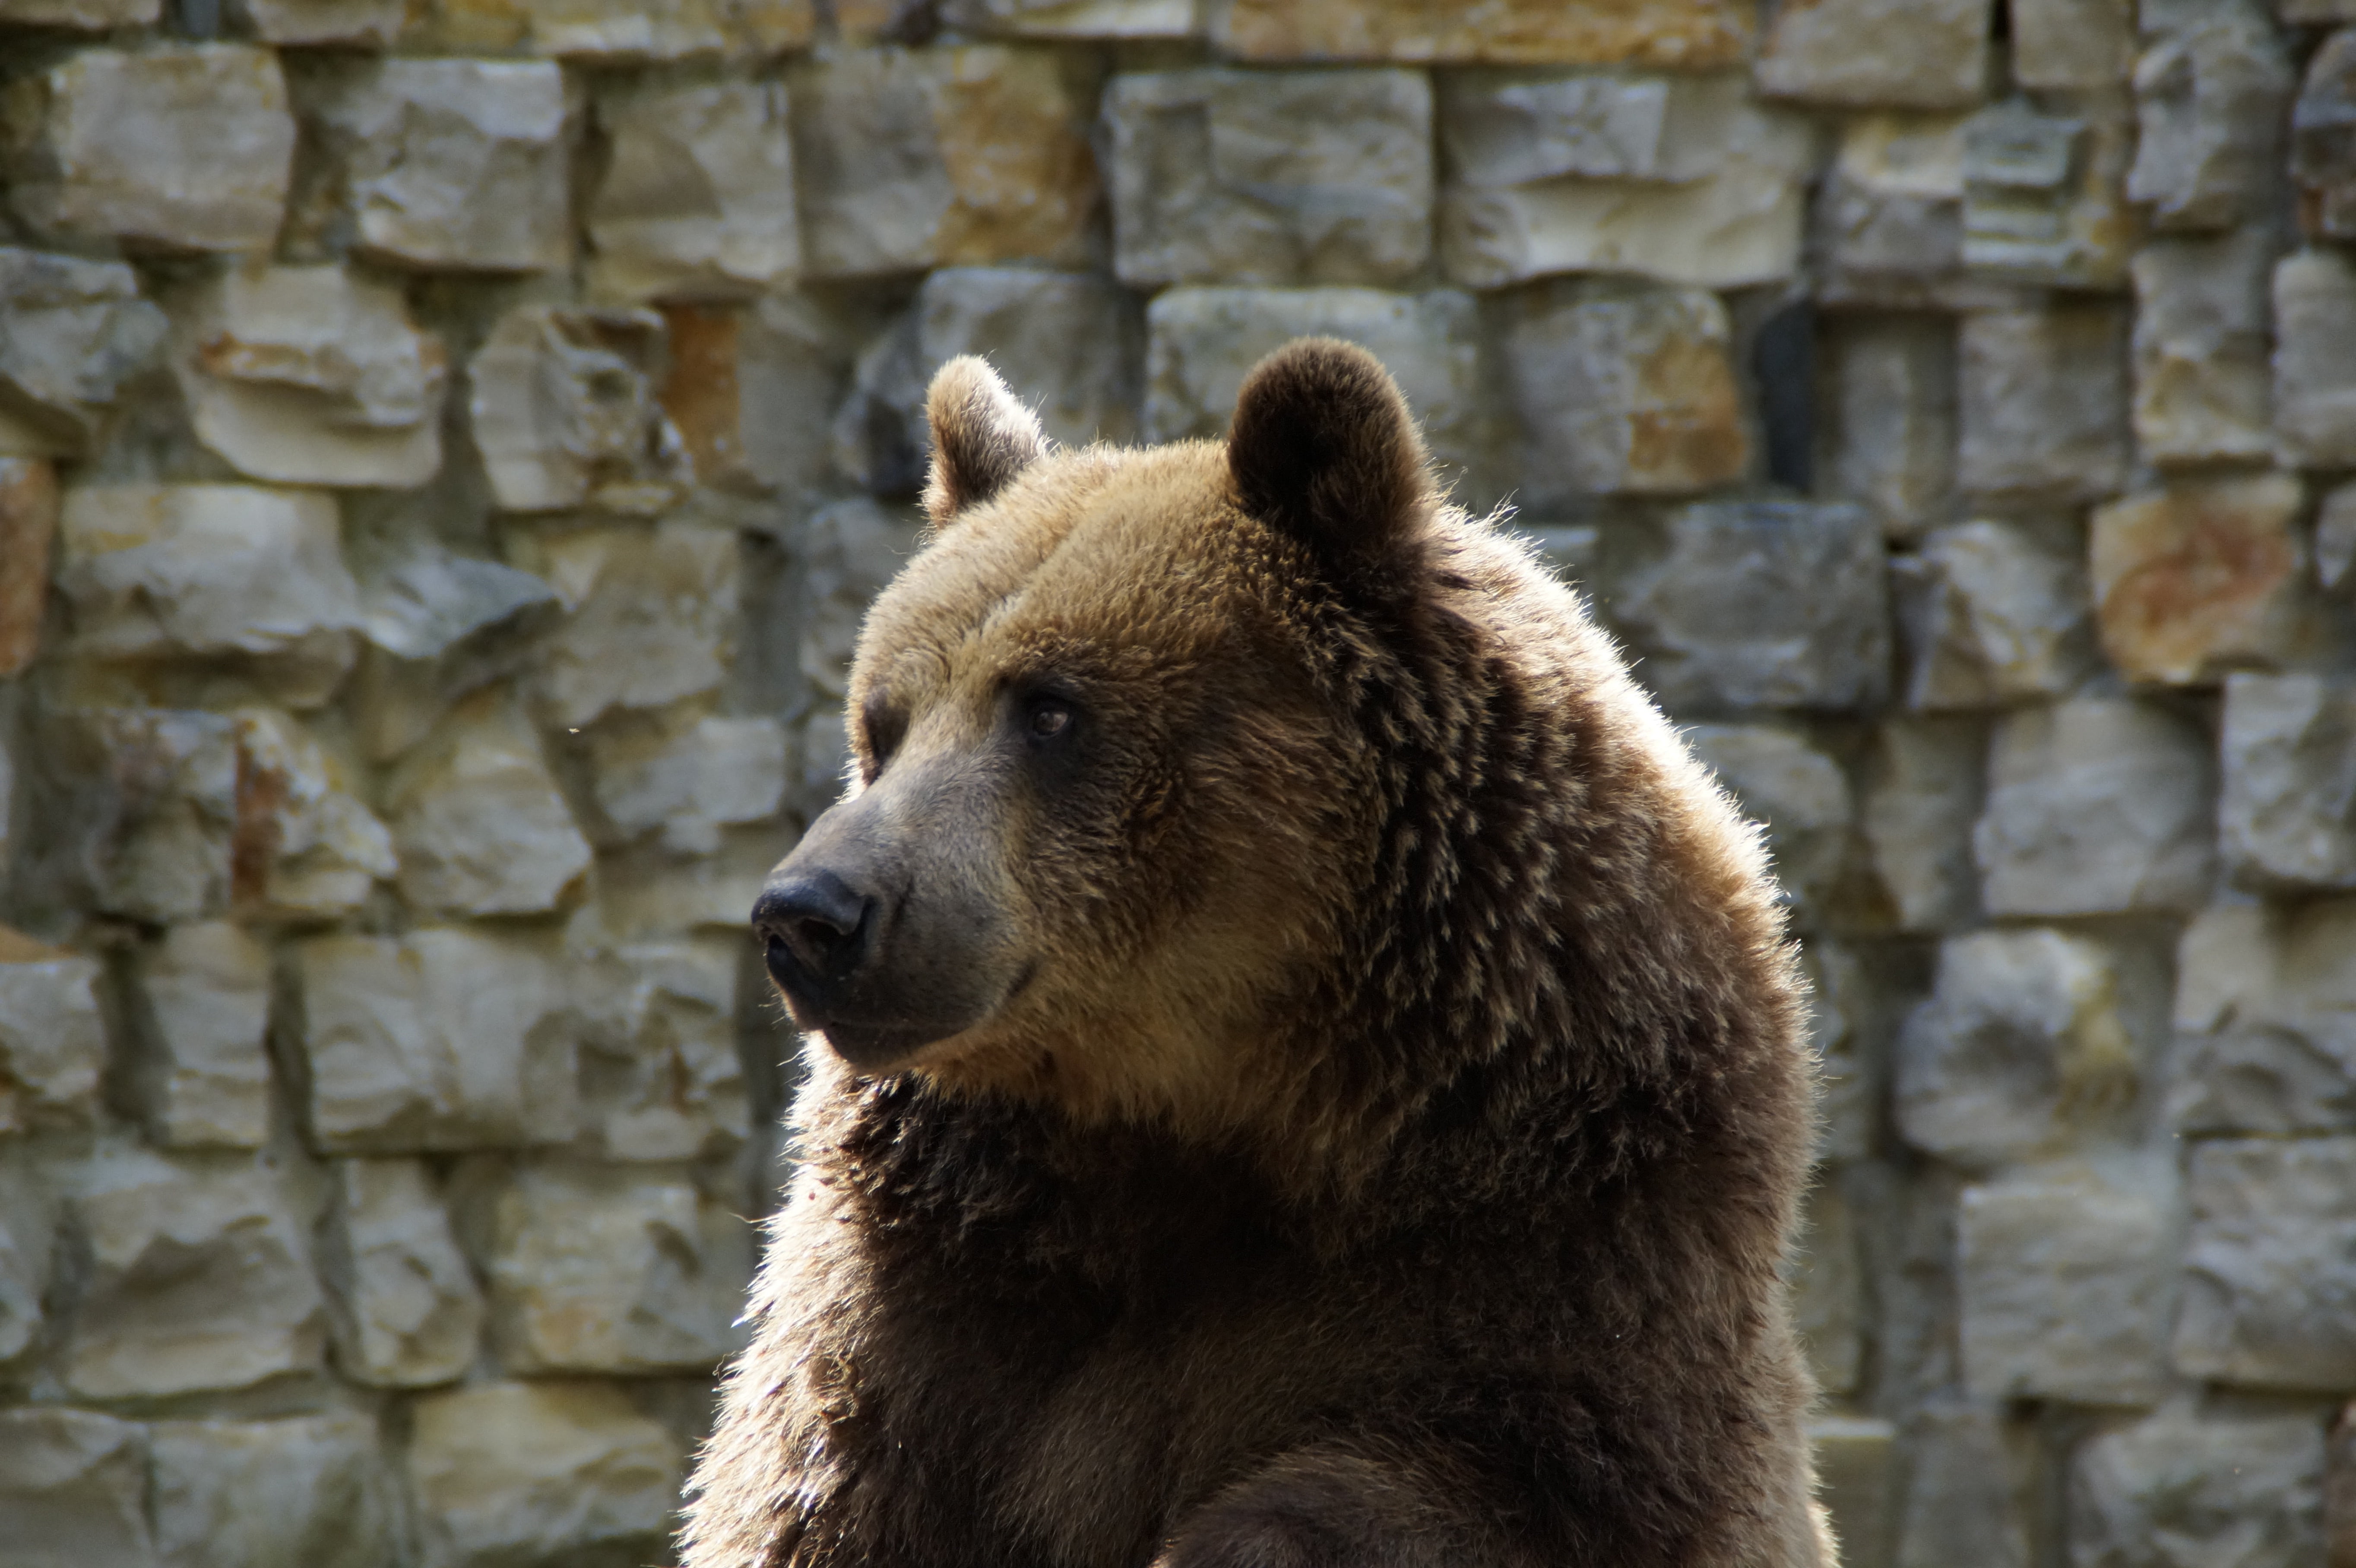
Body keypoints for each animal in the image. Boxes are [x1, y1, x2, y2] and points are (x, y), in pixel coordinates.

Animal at [683, 340, 1828, 1568]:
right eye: (883, 723)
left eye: (1049, 708)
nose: (812, 913)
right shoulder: (932, 1300)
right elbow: (822, 1490)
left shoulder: (1577, 1241)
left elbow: (1512, 1479)